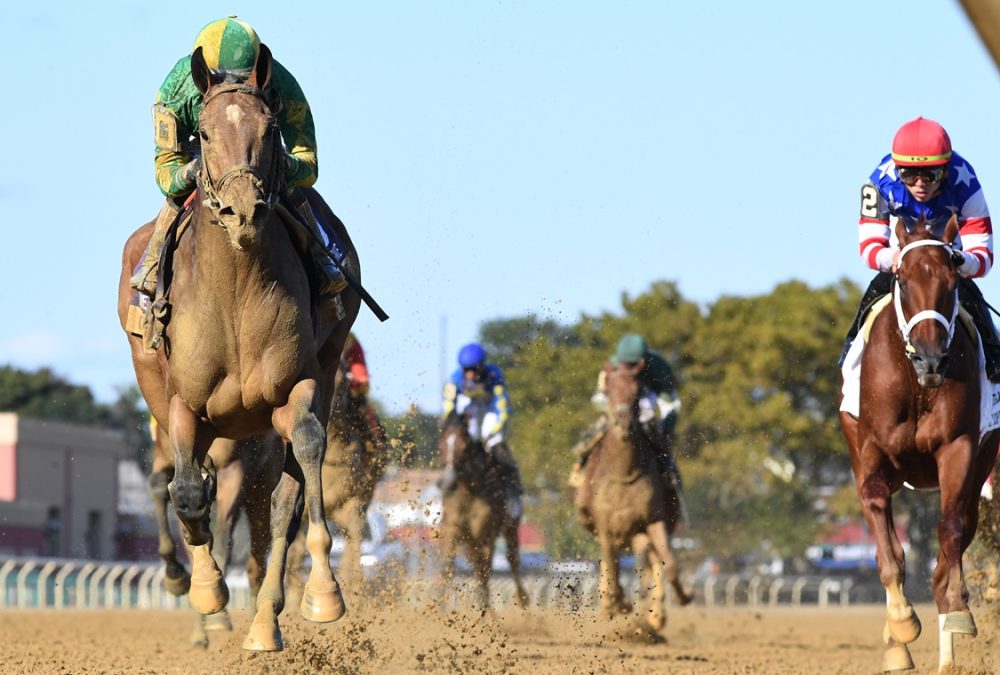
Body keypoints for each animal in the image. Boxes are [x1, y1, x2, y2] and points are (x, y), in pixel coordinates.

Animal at [118, 45, 360, 652]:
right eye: (202, 133)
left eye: (270, 128)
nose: (242, 211)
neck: (235, 293)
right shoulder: (184, 404)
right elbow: (186, 492)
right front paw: (205, 593)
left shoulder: (297, 386)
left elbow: (302, 463)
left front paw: (323, 592)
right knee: (174, 487)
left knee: (281, 504)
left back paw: (264, 622)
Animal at [440, 406, 532, 612]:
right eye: (441, 445)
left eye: (464, 447)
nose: (448, 481)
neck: (470, 489)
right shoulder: (453, 531)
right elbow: (448, 567)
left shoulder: (485, 536)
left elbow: (484, 574)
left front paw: (486, 615)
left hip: (510, 527)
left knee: (512, 560)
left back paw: (522, 600)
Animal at [576, 364, 692, 632]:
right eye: (609, 390)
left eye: (637, 391)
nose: (623, 421)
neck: (623, 473)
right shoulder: (606, 528)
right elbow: (612, 570)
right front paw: (616, 603)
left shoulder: (653, 521)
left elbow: (669, 564)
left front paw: (683, 596)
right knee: (613, 566)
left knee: (654, 561)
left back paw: (655, 616)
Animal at [836, 219, 1000, 672]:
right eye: (903, 280)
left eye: (952, 281)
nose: (931, 359)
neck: (917, 384)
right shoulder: (872, 451)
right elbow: (888, 546)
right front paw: (902, 623)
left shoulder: (960, 448)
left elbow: (950, 533)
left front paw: (958, 611)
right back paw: (897, 644)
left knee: (954, 540)